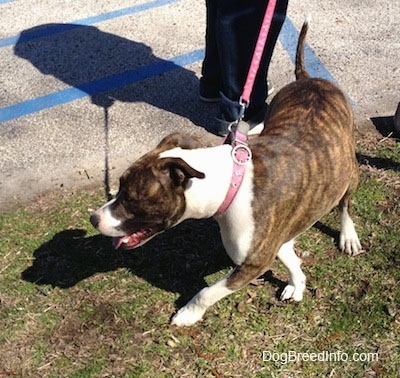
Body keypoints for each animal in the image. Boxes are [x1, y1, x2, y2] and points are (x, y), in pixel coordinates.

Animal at [90, 18, 362, 324]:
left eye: (132, 198)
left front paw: (187, 314)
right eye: (119, 187)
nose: (93, 218)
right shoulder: (271, 244)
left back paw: (348, 235)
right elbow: (291, 258)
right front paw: (297, 283)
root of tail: (307, 78)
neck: (231, 182)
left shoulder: (251, 263)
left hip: (350, 173)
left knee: (345, 204)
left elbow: (207, 292)